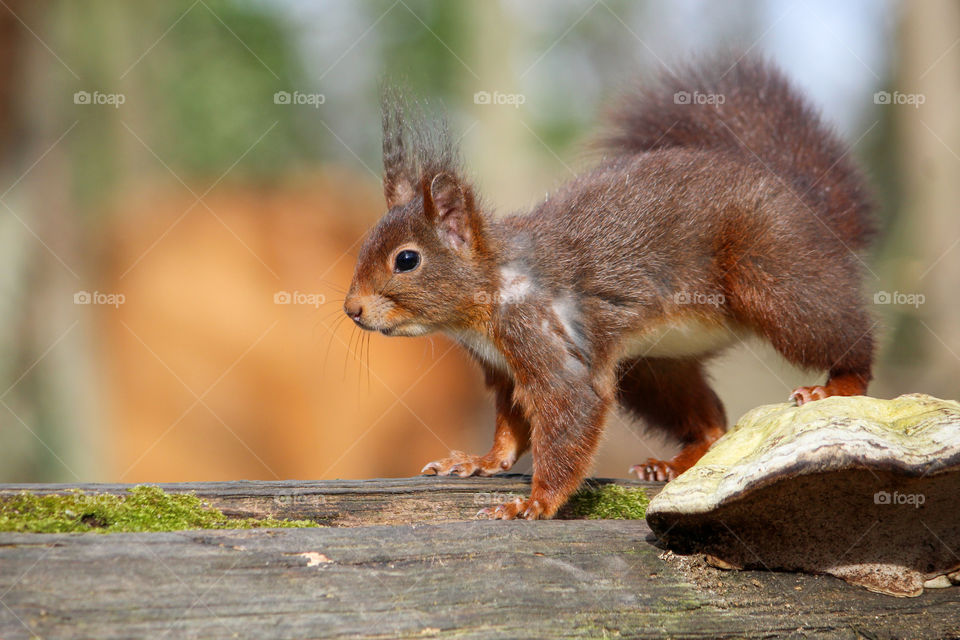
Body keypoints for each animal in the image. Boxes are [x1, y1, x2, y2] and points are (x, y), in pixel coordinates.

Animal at [344, 57, 876, 520]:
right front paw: (480, 462)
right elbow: (510, 428)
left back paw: (837, 385)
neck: (492, 286)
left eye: (406, 260)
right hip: (655, 367)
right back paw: (672, 464)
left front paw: (533, 503)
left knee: (841, 333)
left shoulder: (545, 341)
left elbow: (571, 412)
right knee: (711, 421)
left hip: (771, 277)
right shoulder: (503, 369)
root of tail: (800, 201)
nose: (352, 309)